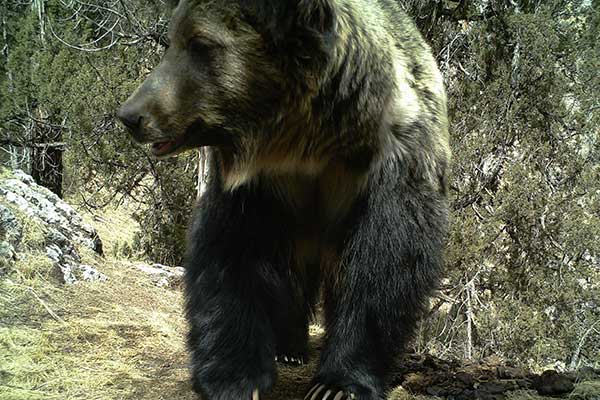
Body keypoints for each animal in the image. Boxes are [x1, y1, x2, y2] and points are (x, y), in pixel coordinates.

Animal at [117, 0, 448, 398]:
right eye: (172, 40)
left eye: (200, 45)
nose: (130, 115)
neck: (307, 141)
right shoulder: (258, 187)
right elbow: (228, 255)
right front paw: (234, 377)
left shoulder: (391, 158)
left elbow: (385, 260)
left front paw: (337, 384)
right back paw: (289, 347)